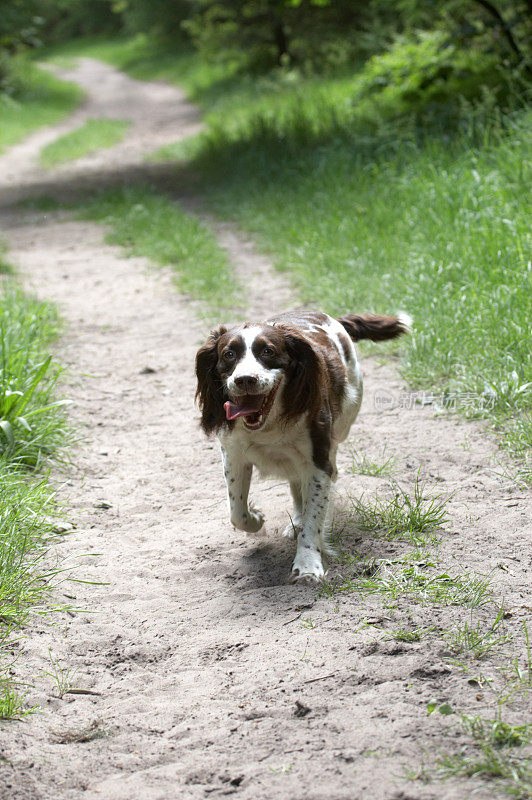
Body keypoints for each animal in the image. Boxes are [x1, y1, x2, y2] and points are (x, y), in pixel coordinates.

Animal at [195, 310, 412, 580]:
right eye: (229, 354)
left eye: (268, 351)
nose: (245, 379)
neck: (269, 424)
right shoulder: (234, 454)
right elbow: (237, 512)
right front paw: (257, 519)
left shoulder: (317, 462)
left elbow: (314, 517)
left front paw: (308, 565)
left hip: (345, 416)